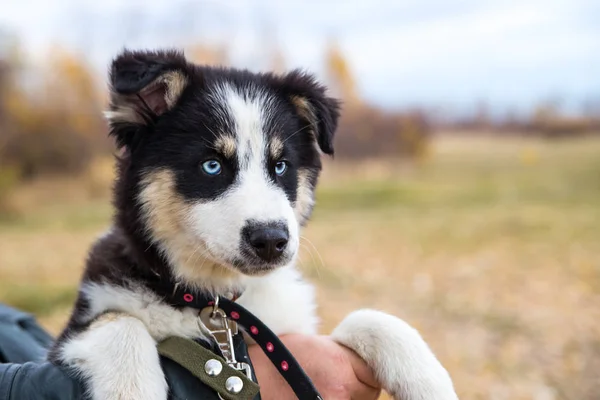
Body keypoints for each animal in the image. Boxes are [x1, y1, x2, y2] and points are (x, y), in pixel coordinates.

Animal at [49, 50, 458, 400]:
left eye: (280, 166)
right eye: (211, 165)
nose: (271, 240)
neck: (213, 300)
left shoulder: (291, 330)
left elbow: (369, 318)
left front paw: (429, 381)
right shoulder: (80, 323)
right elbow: (119, 321)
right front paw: (131, 388)